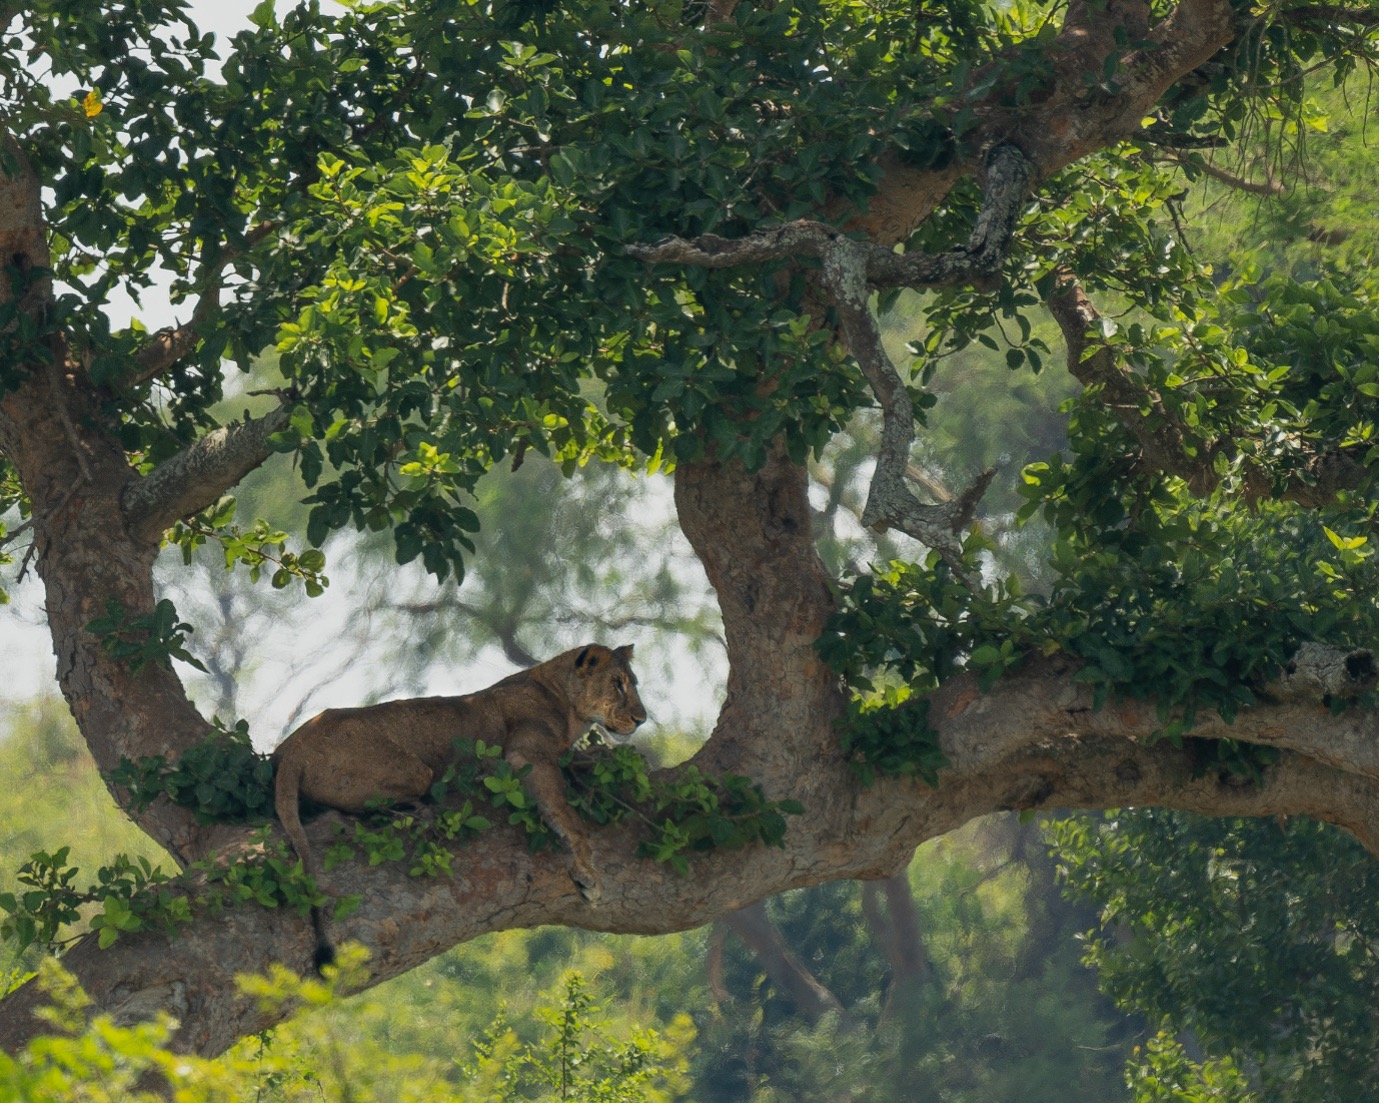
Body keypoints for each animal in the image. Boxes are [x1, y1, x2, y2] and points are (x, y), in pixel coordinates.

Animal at [271, 643, 646, 966]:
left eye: (634, 684)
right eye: (618, 685)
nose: (641, 719)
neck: (567, 705)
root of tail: (291, 750)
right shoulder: (527, 756)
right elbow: (567, 817)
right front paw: (587, 875)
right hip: (414, 771)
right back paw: (421, 808)